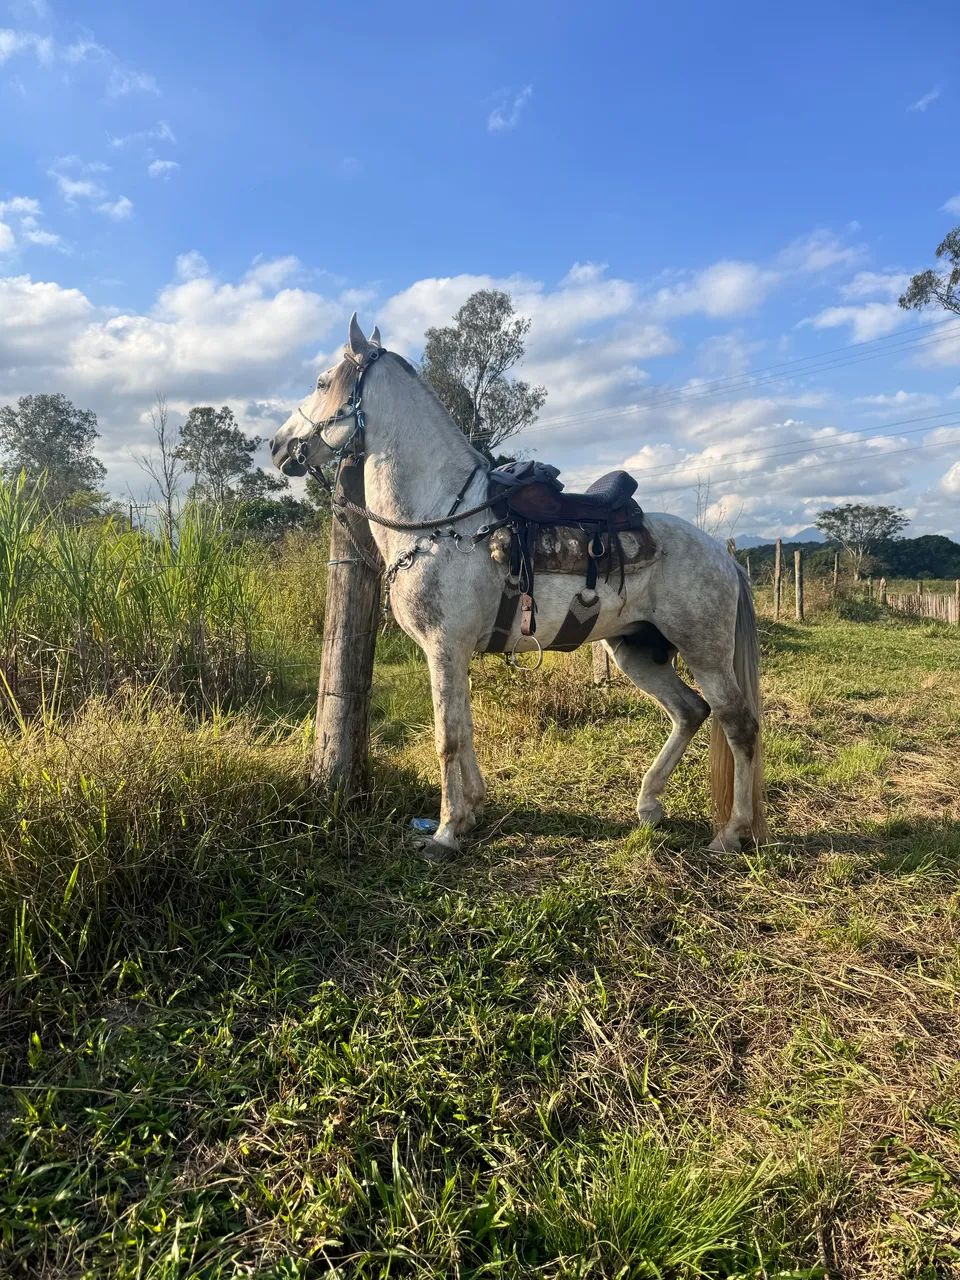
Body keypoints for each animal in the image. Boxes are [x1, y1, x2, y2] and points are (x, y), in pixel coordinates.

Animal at [271, 315, 767, 858]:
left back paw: (732, 833)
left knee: (739, 724)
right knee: (689, 711)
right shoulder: (454, 651)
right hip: (637, 651)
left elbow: (447, 737)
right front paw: (471, 812)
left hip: (704, 651)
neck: (441, 520)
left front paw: (445, 833)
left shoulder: (443, 647)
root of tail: (723, 555)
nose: (276, 446)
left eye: (322, 382)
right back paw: (649, 806)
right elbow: (464, 730)